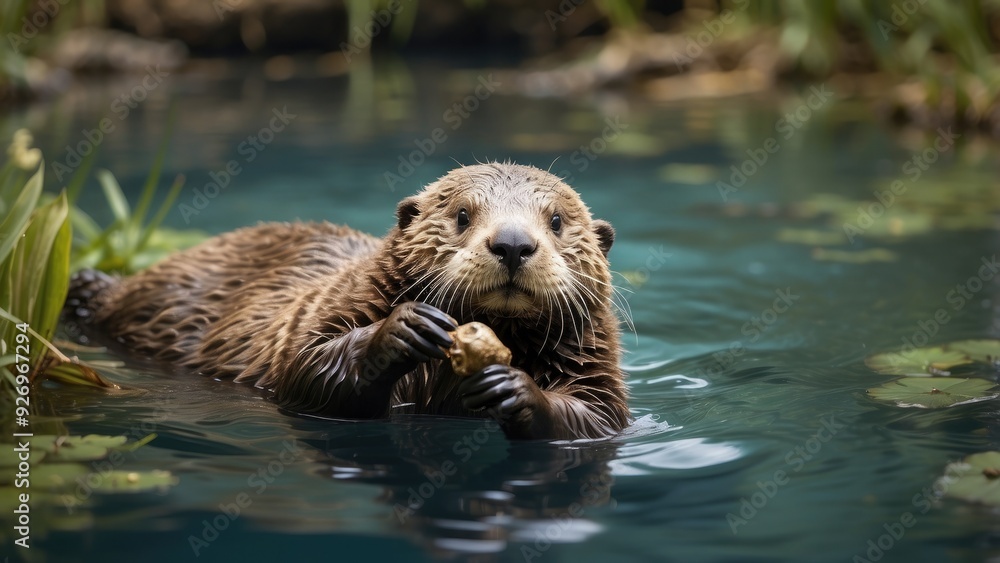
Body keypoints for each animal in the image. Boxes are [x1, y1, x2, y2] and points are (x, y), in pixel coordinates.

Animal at [64, 162, 629, 440]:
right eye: (463, 215)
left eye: (556, 221)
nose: (512, 243)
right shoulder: (337, 303)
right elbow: (307, 367)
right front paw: (403, 329)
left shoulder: (592, 356)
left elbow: (596, 415)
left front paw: (514, 389)